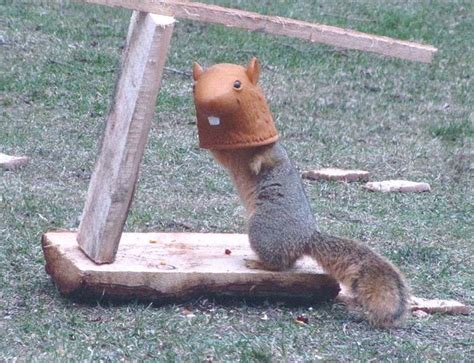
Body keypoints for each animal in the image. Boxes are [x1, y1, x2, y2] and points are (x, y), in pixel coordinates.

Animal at [191, 58, 410, 328]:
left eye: (237, 84)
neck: (241, 150)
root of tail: (306, 238)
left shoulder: (273, 152)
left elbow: (268, 158)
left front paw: (256, 163)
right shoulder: (227, 155)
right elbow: (220, 154)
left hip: (263, 229)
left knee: (280, 265)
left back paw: (256, 262)